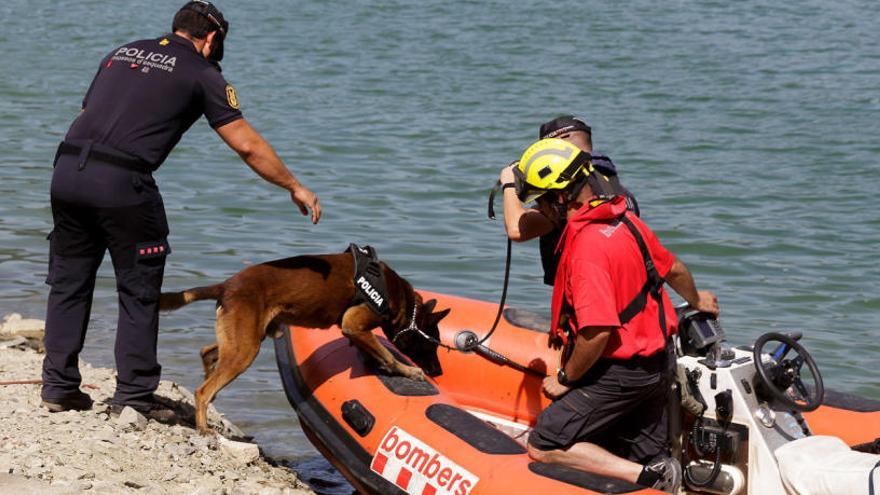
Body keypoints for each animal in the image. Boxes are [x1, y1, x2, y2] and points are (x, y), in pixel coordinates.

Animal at [159, 252, 450, 434]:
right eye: (433, 343)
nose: (438, 371)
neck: (398, 296)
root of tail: (227, 285)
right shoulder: (353, 324)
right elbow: (388, 356)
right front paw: (409, 371)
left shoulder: (356, 330)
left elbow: (375, 351)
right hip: (246, 349)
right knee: (202, 390)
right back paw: (203, 426)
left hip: (246, 339)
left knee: (207, 354)